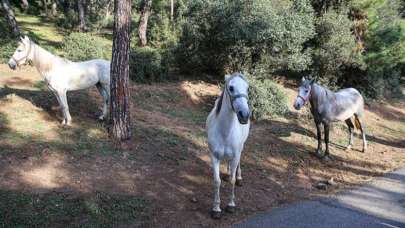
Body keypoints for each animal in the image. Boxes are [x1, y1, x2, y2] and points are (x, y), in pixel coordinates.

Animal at [205, 72, 249, 219]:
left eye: (247, 88)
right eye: (231, 88)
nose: (244, 115)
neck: (225, 132)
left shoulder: (236, 155)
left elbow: (232, 181)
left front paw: (231, 205)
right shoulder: (214, 157)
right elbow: (217, 181)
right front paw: (216, 208)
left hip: (241, 148)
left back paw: (239, 176)